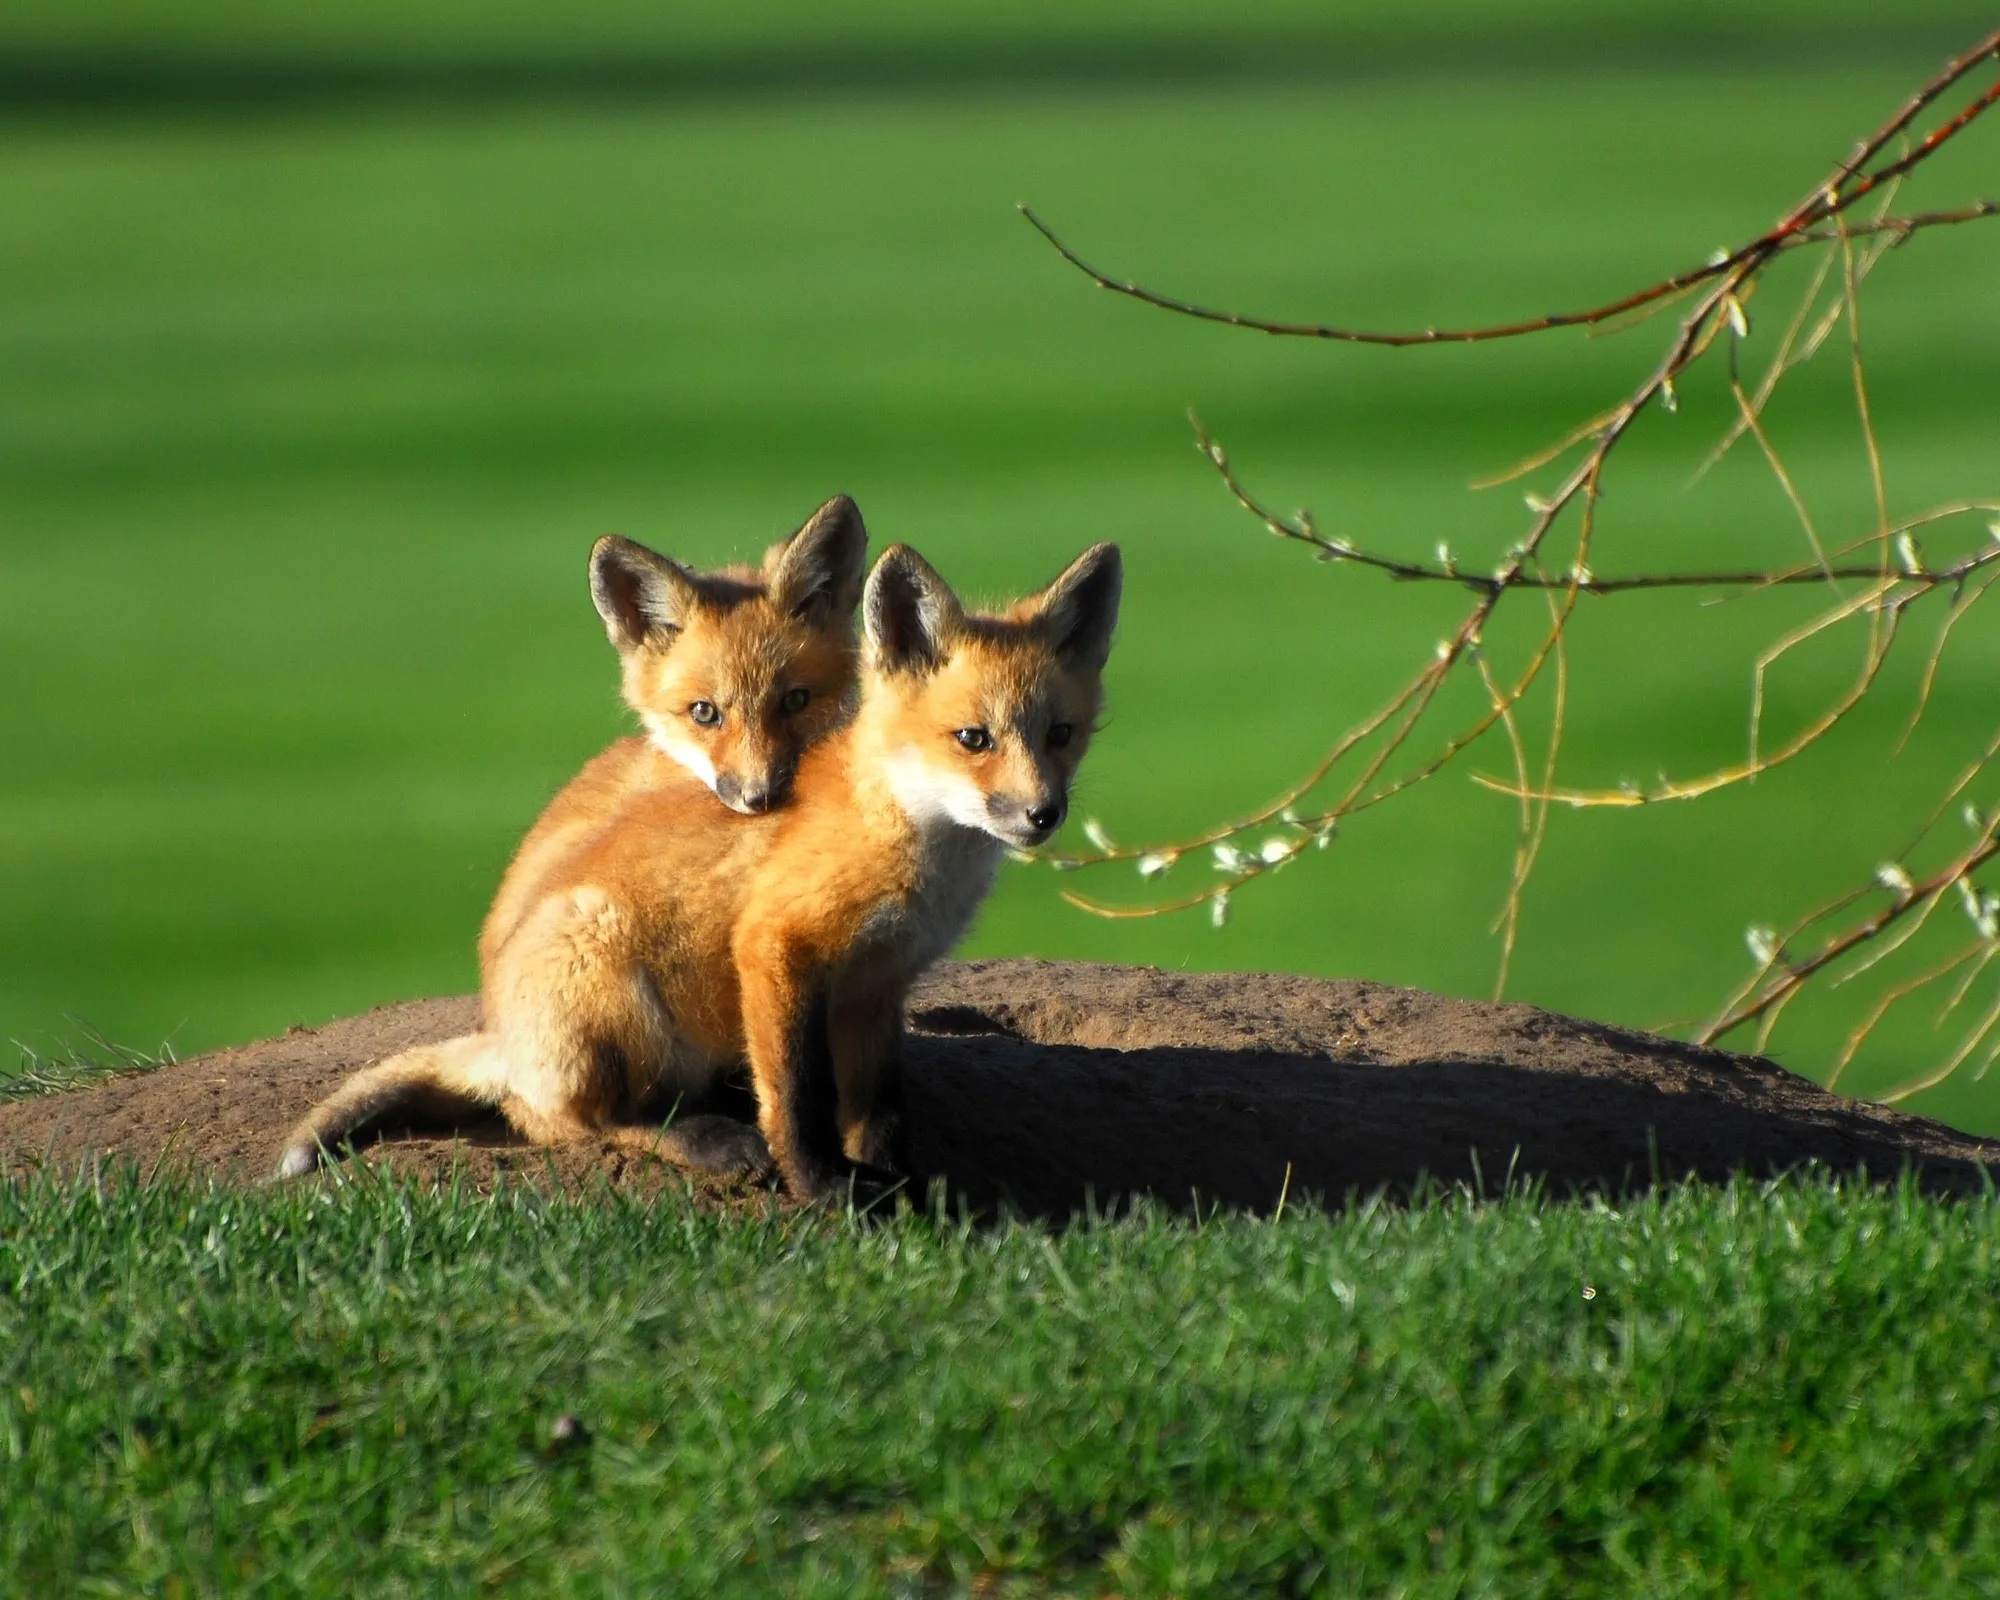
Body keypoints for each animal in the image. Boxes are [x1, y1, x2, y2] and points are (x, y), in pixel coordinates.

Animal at [277, 538, 1122, 1200]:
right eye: (974, 738)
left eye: (1062, 734)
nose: (1043, 814)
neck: (913, 844)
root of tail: (505, 1039)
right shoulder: (777, 947)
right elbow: (799, 1097)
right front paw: (823, 1188)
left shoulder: (878, 984)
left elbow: (879, 1111)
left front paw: (904, 1187)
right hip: (610, 982)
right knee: (569, 1123)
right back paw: (707, 1140)